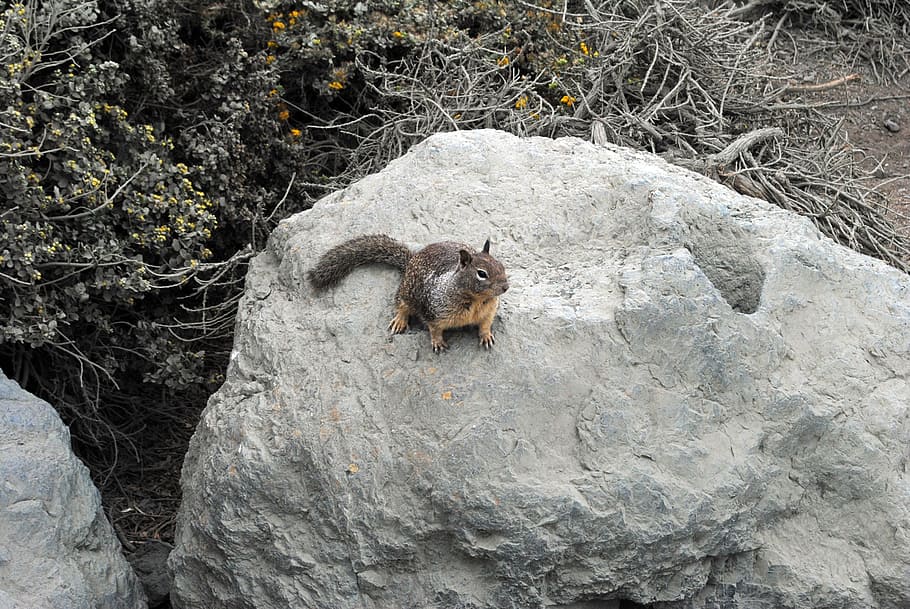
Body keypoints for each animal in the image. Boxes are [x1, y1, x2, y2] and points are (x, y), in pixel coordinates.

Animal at [307, 234, 509, 352]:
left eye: (501, 265)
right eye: (481, 274)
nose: (506, 287)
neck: (476, 301)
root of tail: (411, 259)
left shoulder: (489, 311)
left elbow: (485, 324)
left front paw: (486, 336)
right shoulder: (433, 311)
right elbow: (434, 329)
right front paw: (438, 342)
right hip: (405, 293)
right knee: (401, 305)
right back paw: (399, 321)